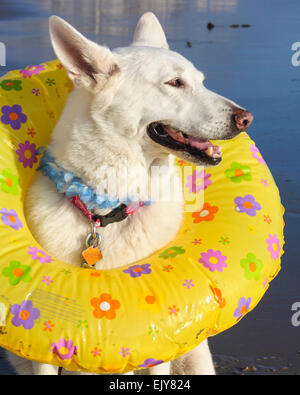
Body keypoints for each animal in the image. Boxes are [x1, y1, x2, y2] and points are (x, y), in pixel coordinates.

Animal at [5, 12, 252, 376]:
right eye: (175, 83)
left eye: (201, 81)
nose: (246, 118)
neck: (105, 212)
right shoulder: (41, 351)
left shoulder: (159, 346)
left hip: (196, 359)